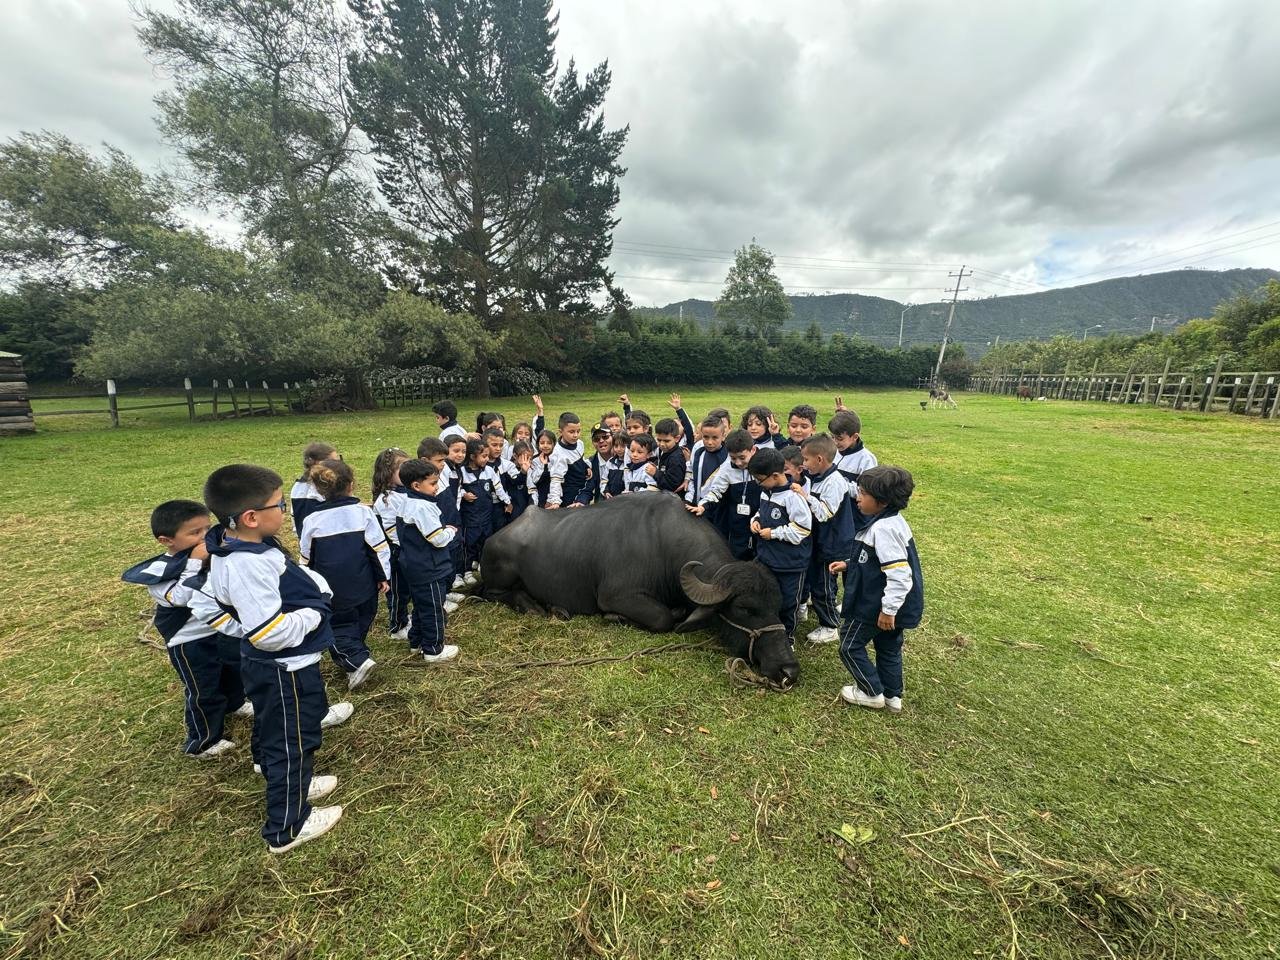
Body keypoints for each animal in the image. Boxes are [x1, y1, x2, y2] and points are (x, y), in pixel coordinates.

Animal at [480, 492, 801, 688]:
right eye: (745, 609)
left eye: (777, 606)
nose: (788, 670)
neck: (663, 545)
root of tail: (496, 537)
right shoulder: (617, 596)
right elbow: (663, 618)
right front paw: (615, 617)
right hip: (498, 578)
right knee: (490, 592)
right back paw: (533, 606)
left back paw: (556, 608)